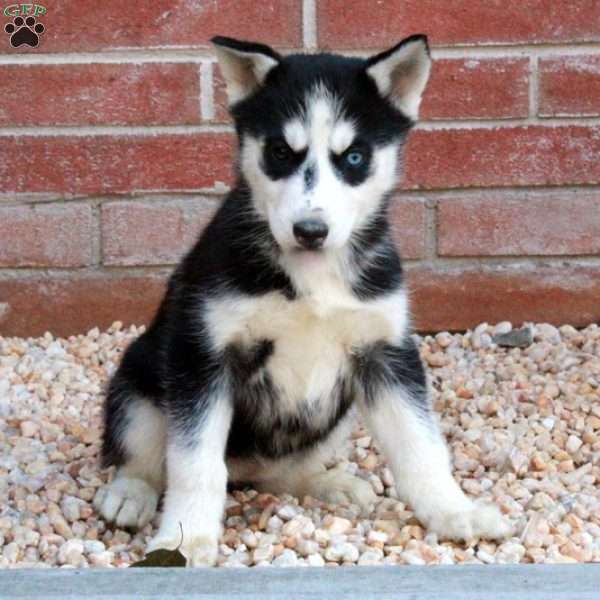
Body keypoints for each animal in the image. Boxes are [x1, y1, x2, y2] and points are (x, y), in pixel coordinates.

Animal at [94, 35, 510, 564]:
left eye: (353, 158)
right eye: (279, 152)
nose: (310, 231)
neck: (314, 275)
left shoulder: (386, 354)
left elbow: (421, 445)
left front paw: (454, 511)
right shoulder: (204, 357)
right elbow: (195, 462)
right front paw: (185, 539)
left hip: (335, 418)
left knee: (280, 472)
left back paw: (329, 483)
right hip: (139, 382)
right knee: (147, 456)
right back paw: (131, 493)